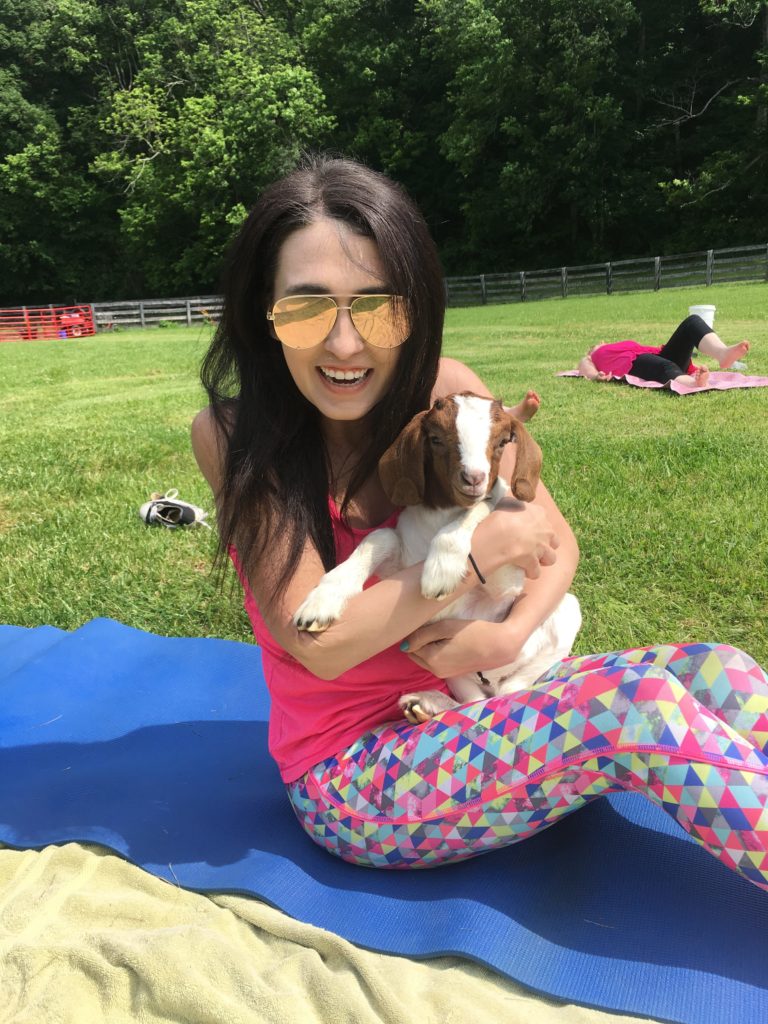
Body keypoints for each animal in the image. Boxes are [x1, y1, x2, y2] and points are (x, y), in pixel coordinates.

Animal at [294, 389, 581, 720]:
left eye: (501, 442)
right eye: (436, 438)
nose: (474, 478)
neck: (442, 515)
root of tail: (491, 681)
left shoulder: (506, 582)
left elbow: (483, 509)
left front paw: (441, 570)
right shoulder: (401, 559)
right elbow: (380, 537)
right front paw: (321, 602)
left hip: (564, 616)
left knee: (510, 691)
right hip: (454, 673)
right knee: (474, 703)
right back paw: (425, 704)